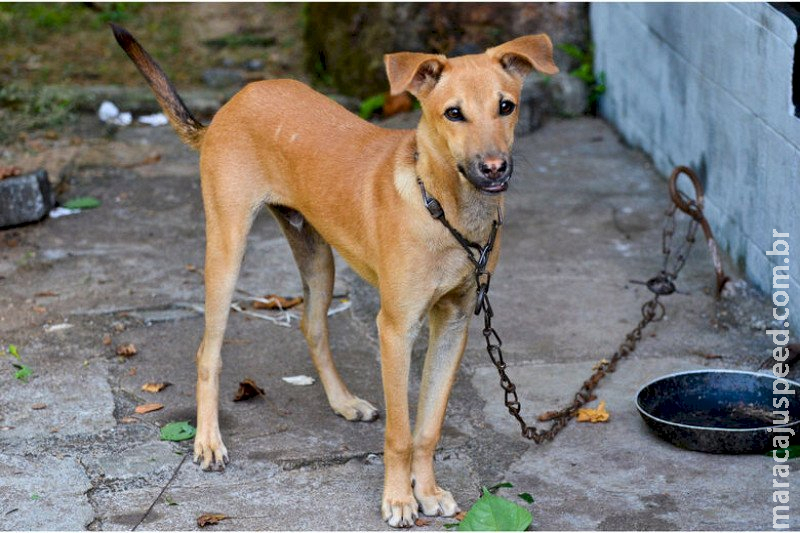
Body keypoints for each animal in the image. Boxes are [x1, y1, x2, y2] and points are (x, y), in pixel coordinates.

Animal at [112, 23, 556, 524]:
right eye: (453, 113)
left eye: (507, 106)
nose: (494, 168)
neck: (444, 208)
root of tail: (232, 103)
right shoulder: (396, 328)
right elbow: (401, 433)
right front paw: (398, 498)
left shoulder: (454, 323)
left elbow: (428, 426)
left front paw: (427, 490)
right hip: (227, 248)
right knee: (209, 351)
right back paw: (208, 441)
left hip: (318, 258)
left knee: (312, 325)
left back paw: (343, 402)